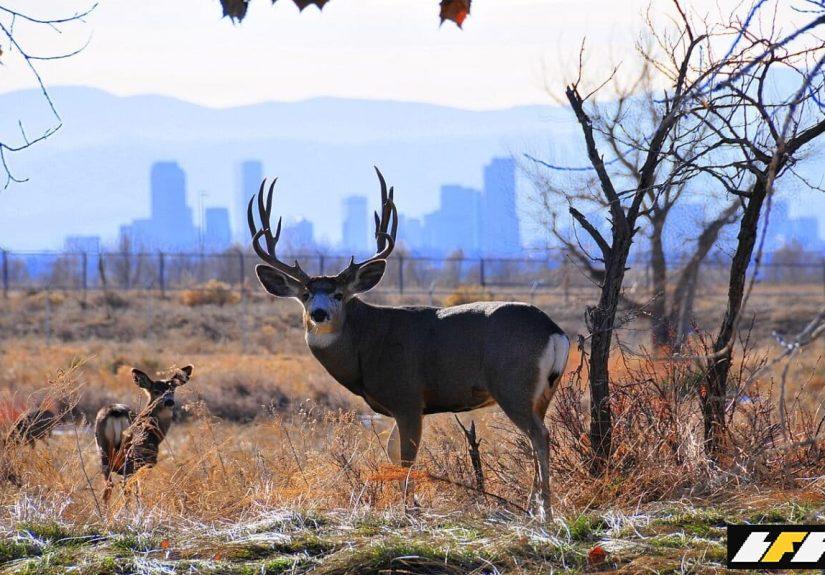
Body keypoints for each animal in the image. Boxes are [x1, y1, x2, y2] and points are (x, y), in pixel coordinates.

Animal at [94, 365, 193, 501]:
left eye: (172, 390)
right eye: (156, 391)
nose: (169, 402)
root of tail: (116, 412)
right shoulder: (147, 461)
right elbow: (139, 489)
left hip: (103, 449)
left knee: (108, 487)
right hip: (132, 455)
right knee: (125, 488)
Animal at [247, 169, 569, 516]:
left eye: (339, 294)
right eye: (306, 294)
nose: (319, 314)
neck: (367, 345)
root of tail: (554, 330)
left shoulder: (408, 397)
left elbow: (406, 458)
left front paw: (406, 508)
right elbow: (392, 453)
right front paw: (407, 503)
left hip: (512, 384)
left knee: (539, 435)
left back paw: (545, 510)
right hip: (543, 392)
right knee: (538, 436)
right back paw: (532, 505)